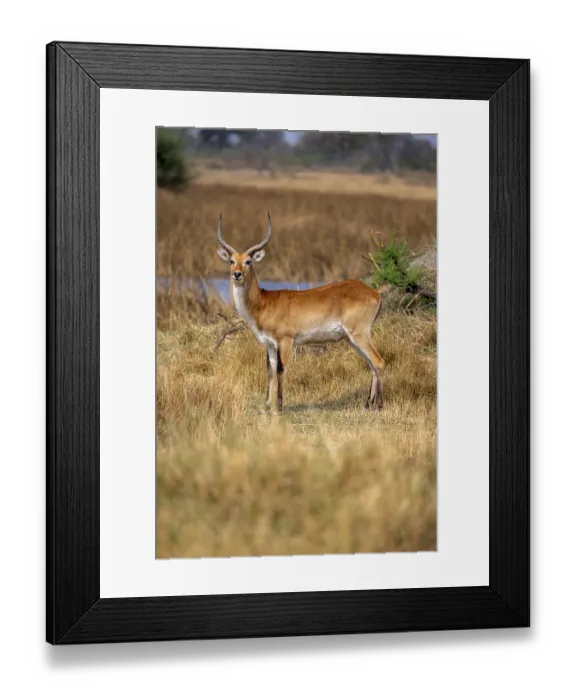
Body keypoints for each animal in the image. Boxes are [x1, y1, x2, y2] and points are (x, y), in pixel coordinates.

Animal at [216, 213, 385, 414]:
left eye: (248, 261)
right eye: (232, 261)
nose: (237, 274)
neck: (264, 303)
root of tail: (375, 293)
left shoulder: (286, 341)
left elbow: (281, 370)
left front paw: (279, 407)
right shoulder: (269, 345)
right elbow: (270, 372)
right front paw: (266, 407)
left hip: (359, 335)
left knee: (379, 361)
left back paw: (379, 405)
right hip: (353, 339)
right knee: (372, 365)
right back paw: (368, 405)